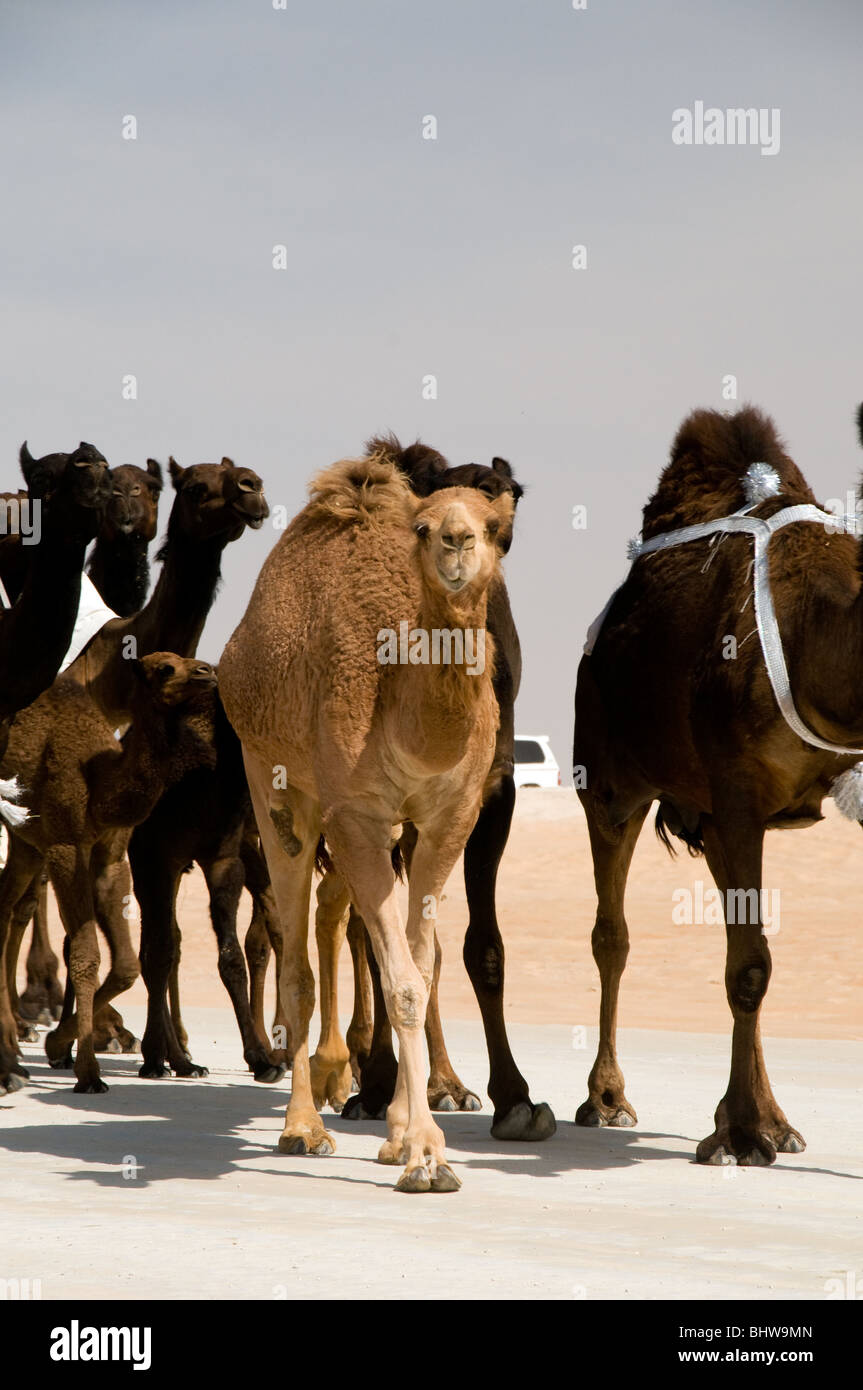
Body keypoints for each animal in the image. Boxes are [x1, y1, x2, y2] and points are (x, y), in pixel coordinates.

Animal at [0, 654, 217, 1092]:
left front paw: (57, 1042)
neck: (101, 784)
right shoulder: (65, 846)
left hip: (24, 843)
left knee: (5, 907)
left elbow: (126, 966)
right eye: (165, 668)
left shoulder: (110, 856)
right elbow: (86, 954)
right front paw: (88, 1072)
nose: (208, 672)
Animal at [219, 443, 516, 1192]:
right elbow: (400, 981)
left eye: (496, 526)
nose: (457, 541)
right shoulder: (356, 815)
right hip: (273, 784)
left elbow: (418, 965)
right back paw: (302, 1125)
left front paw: (402, 1134)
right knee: (297, 960)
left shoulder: (448, 818)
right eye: (424, 526)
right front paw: (427, 1156)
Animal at [573, 402, 863, 1165]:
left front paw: (747, 1126)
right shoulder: (735, 791)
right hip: (609, 780)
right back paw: (605, 1100)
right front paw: (738, 1137)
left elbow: (748, 959)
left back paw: (774, 1118)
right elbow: (749, 967)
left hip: (706, 815)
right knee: (613, 937)